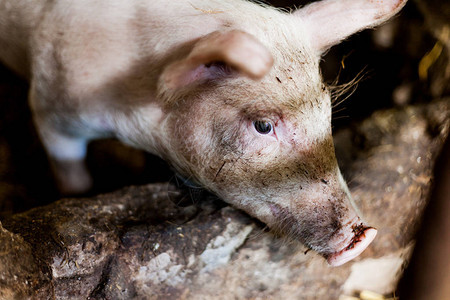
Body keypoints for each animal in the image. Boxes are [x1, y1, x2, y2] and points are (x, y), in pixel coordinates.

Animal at [0, 0, 408, 268]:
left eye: (326, 112)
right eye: (263, 125)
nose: (364, 236)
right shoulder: (50, 107)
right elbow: (71, 173)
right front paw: (79, 195)